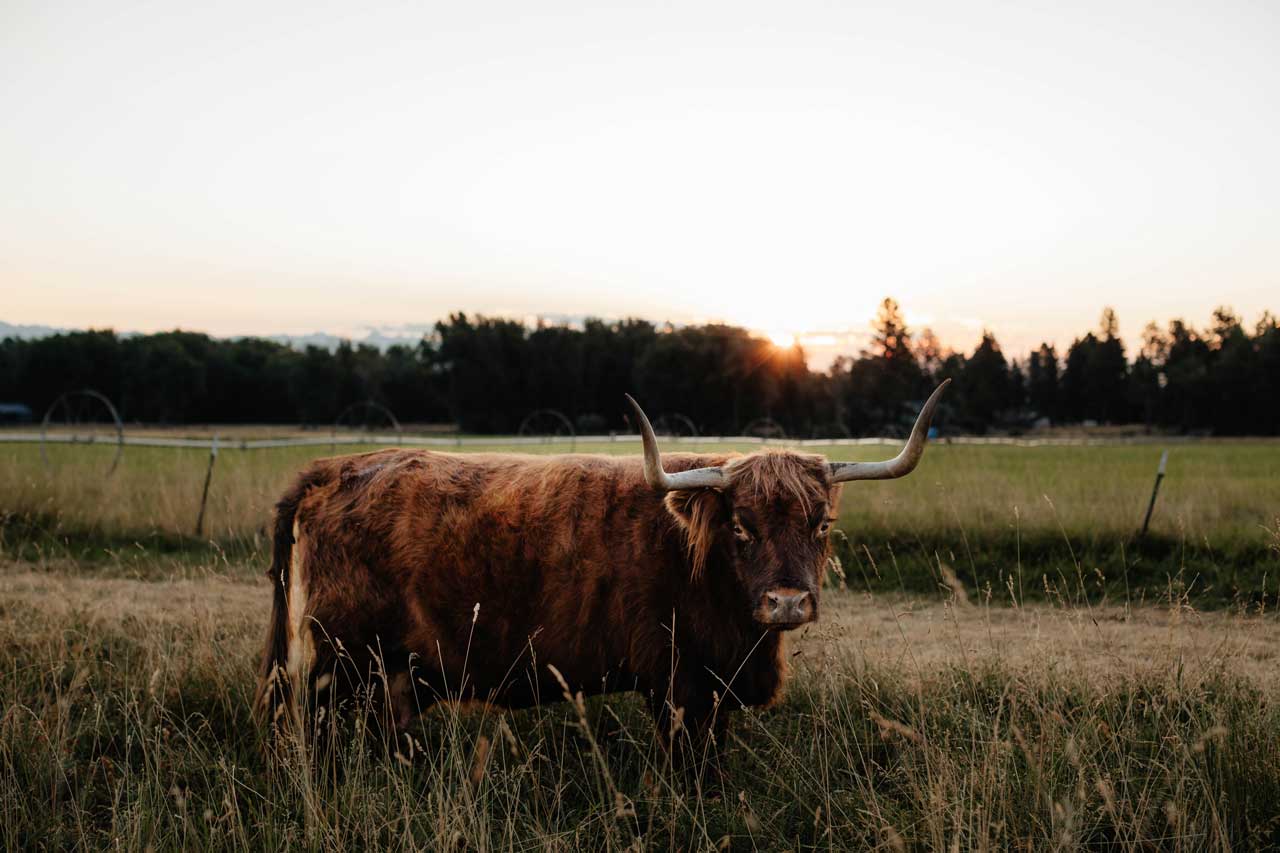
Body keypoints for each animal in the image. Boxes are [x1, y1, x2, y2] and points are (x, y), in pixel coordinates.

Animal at [254, 379, 947, 742]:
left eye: (823, 524)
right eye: (741, 528)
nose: (787, 602)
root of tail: (334, 470)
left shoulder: (713, 691)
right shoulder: (678, 687)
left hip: (385, 674)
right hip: (340, 665)